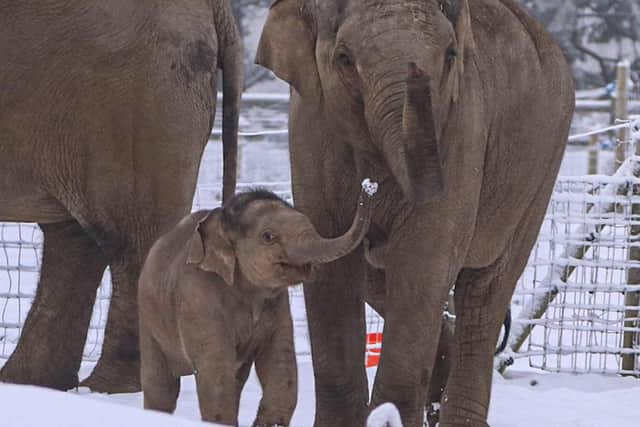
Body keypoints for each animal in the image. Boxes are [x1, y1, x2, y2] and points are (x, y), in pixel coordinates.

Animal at [0, 0, 240, 394]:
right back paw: (33, 383)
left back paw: (108, 386)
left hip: (131, 101)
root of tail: (214, 6)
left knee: (129, 238)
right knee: (76, 236)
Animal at [136, 182, 376, 426]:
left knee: (236, 380)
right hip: (149, 319)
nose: (369, 186)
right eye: (268, 236)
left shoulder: (278, 305)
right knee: (162, 386)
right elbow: (215, 368)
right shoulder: (197, 297)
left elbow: (279, 359)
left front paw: (269, 424)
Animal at [256, 1, 576, 426]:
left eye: (451, 55)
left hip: (541, 166)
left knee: (485, 293)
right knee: (383, 284)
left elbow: (424, 257)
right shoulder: (310, 129)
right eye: (344, 59)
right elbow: (329, 264)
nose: (368, 190)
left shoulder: (463, 128)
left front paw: (387, 416)